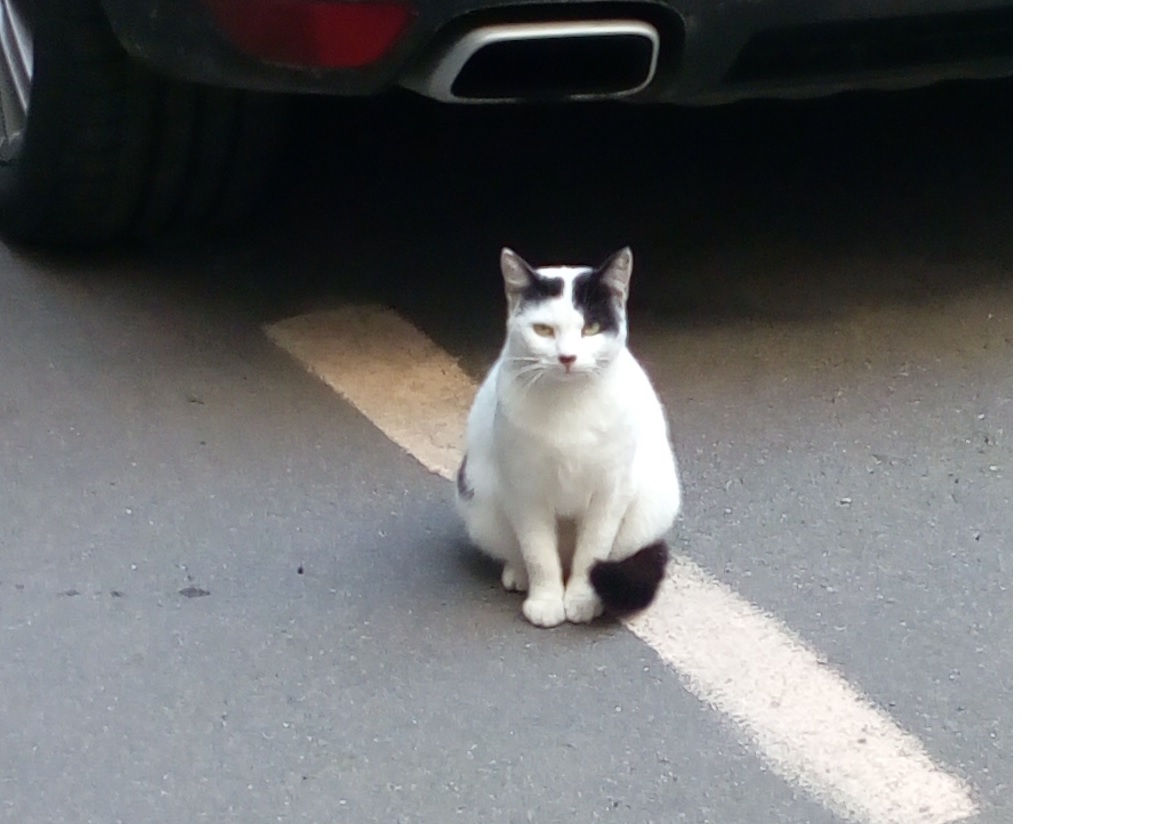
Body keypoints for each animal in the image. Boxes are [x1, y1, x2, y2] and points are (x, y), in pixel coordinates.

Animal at [453, 247, 677, 626]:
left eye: (591, 328)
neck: (569, 405)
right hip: (478, 497)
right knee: (522, 552)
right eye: (543, 329)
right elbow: (539, 553)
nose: (568, 357)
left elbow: (592, 553)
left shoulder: (610, 491)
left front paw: (581, 600)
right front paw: (546, 601)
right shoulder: (525, 490)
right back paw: (519, 575)